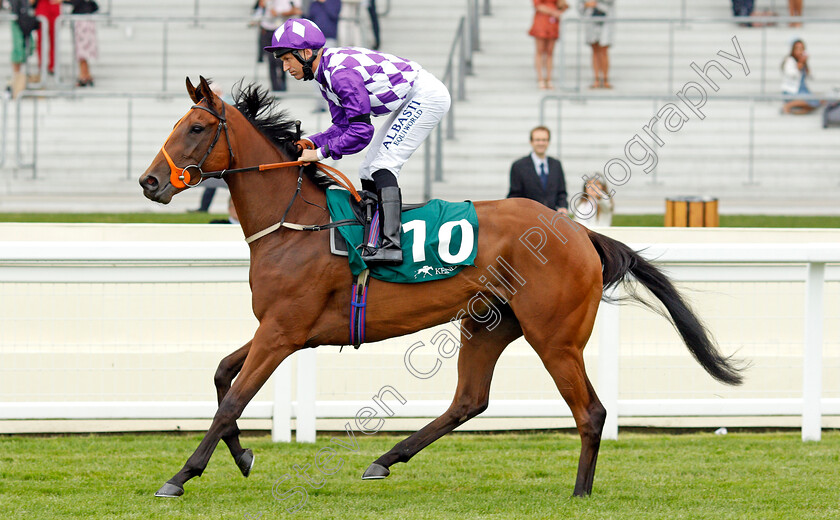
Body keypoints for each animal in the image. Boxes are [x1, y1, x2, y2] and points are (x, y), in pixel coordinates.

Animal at [139, 77, 748, 500]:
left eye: (196, 128)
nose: (149, 181)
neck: (295, 222)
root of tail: (579, 231)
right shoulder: (281, 328)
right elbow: (222, 375)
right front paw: (242, 458)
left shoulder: (283, 331)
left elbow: (232, 399)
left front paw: (182, 474)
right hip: (488, 323)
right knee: (469, 400)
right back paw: (385, 459)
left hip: (555, 336)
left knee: (591, 412)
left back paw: (580, 492)